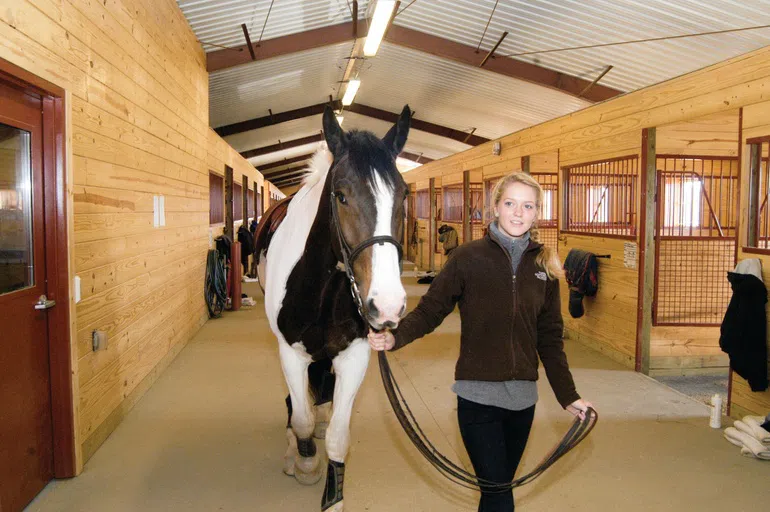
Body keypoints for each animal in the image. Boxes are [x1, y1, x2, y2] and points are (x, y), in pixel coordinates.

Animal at [254, 106, 412, 510]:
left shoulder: (354, 356)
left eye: (403, 196)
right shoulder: (290, 353)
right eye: (340, 196)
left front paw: (333, 495)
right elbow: (301, 417)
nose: (387, 305)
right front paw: (305, 461)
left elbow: (339, 435)